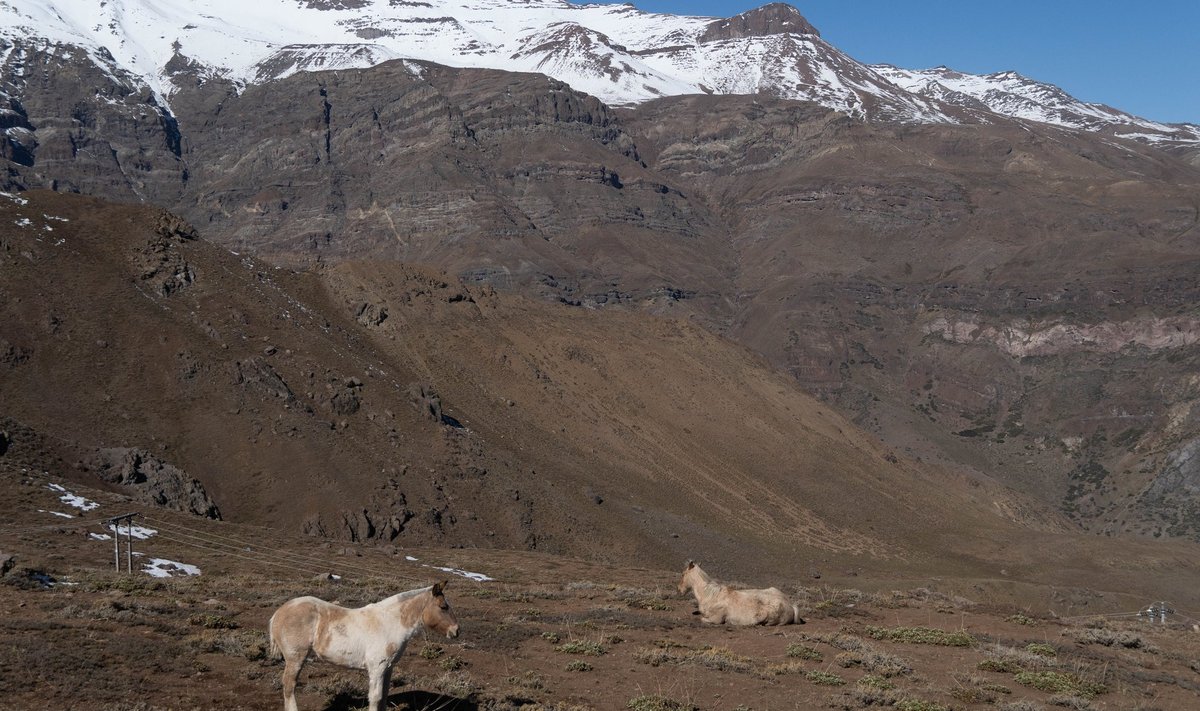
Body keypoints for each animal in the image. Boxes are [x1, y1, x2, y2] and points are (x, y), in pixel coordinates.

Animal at [268, 583, 458, 711]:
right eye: (443, 606)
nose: (456, 631)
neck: (389, 622)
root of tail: (278, 613)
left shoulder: (388, 668)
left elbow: (384, 695)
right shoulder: (377, 668)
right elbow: (375, 697)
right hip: (295, 658)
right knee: (289, 685)